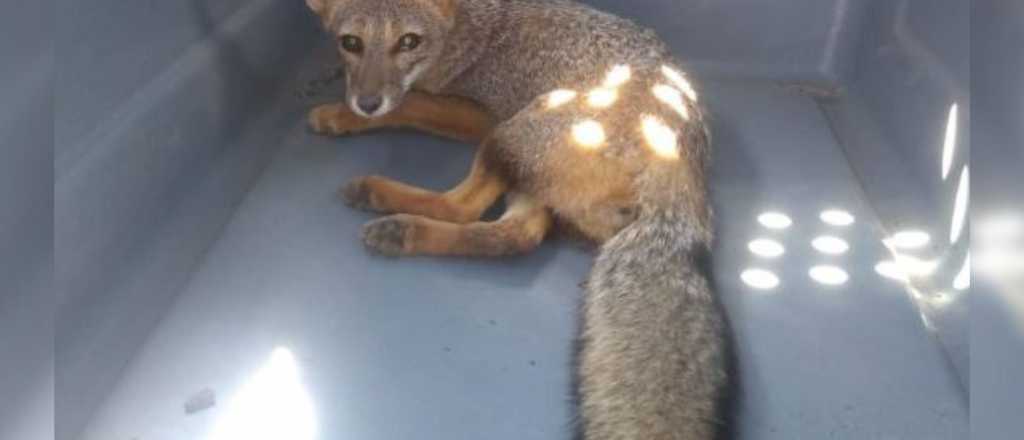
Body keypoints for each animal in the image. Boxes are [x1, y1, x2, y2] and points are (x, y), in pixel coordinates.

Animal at [304, 0, 733, 438]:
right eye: (351, 43)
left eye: (408, 41)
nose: (367, 101)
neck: (470, 36)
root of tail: (683, 162)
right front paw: (345, 104)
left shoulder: (481, 116)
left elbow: (412, 103)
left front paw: (341, 114)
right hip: (530, 177)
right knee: (518, 235)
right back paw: (404, 230)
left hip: (509, 134)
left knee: (463, 206)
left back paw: (383, 203)